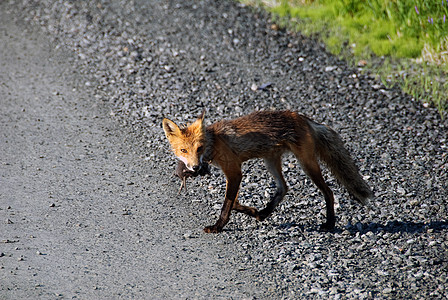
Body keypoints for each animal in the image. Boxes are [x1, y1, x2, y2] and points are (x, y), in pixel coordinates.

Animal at [163, 111, 372, 233]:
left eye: (199, 149)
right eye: (183, 150)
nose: (195, 168)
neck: (215, 142)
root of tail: (303, 118)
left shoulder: (234, 171)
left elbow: (227, 205)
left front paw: (218, 227)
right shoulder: (234, 174)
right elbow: (234, 202)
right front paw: (254, 211)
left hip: (307, 164)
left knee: (328, 191)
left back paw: (329, 224)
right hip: (271, 161)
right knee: (284, 188)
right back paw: (264, 212)